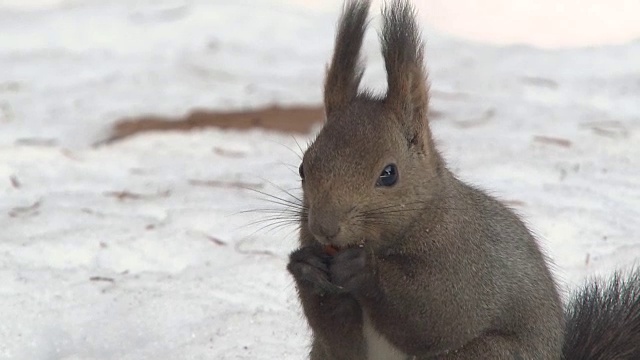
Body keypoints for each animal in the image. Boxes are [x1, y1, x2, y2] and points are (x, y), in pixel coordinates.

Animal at [288, 0, 640, 360]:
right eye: (303, 168)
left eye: (389, 174)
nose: (325, 227)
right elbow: (341, 339)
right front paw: (306, 268)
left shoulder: (468, 263)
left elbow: (438, 315)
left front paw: (363, 268)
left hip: (485, 352)